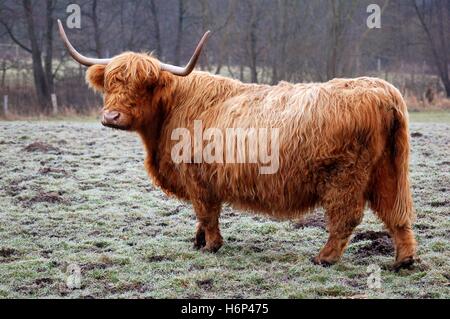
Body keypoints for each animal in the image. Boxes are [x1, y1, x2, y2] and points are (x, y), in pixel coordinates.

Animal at [58, 20, 416, 270]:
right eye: (110, 82)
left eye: (144, 85)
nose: (112, 116)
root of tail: (382, 91)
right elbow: (202, 215)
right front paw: (199, 241)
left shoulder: (198, 177)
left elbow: (206, 212)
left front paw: (211, 245)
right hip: (388, 170)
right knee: (397, 213)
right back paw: (403, 261)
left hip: (344, 175)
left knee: (346, 217)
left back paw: (324, 258)